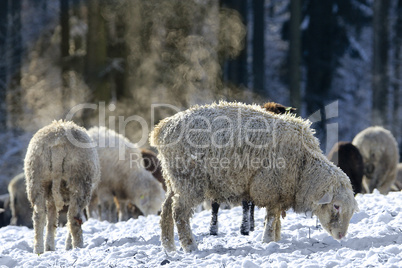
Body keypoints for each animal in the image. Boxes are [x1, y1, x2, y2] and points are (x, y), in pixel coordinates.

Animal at [24, 120, 100, 254]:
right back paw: (78, 246)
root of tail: (58, 142)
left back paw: (39, 249)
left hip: (37, 178)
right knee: (74, 217)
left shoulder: (51, 198)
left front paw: (49, 247)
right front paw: (68, 245)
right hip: (79, 180)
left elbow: (52, 220)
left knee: (39, 216)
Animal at [150, 101, 358, 252]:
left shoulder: (279, 192)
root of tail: (161, 129)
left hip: (174, 179)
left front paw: (275, 240)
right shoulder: (271, 186)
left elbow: (276, 220)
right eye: (336, 206)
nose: (341, 236)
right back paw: (190, 247)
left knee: (166, 210)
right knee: (179, 213)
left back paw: (169, 247)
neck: (303, 167)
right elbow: (272, 219)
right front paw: (268, 241)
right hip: (189, 179)